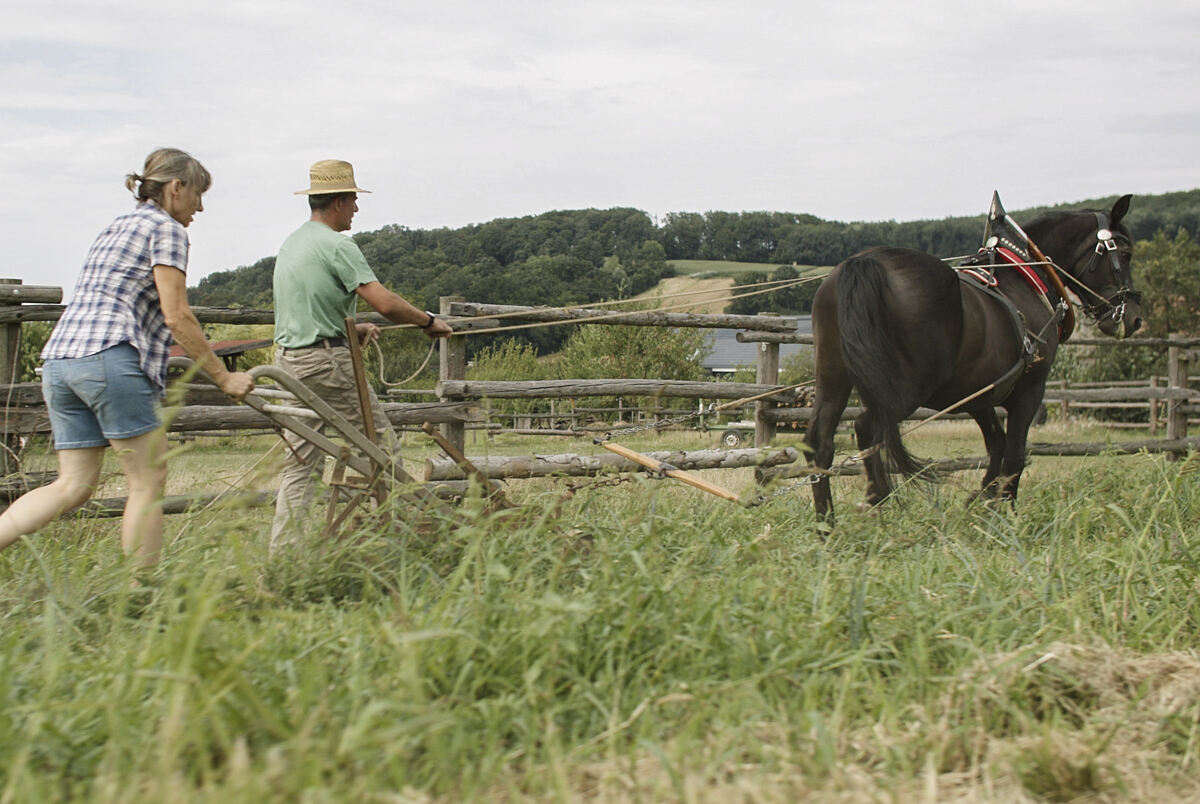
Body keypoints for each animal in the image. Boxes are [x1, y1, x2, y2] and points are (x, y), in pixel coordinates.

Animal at [801, 196, 1137, 523]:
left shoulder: (980, 393)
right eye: (1126, 253)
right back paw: (874, 500)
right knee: (867, 427)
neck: (1026, 275)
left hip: (835, 378)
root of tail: (864, 262)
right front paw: (1006, 516)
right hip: (906, 389)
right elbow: (1015, 455)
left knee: (820, 441)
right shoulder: (1030, 388)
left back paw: (826, 523)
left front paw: (981, 499)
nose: (1133, 318)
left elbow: (996, 444)